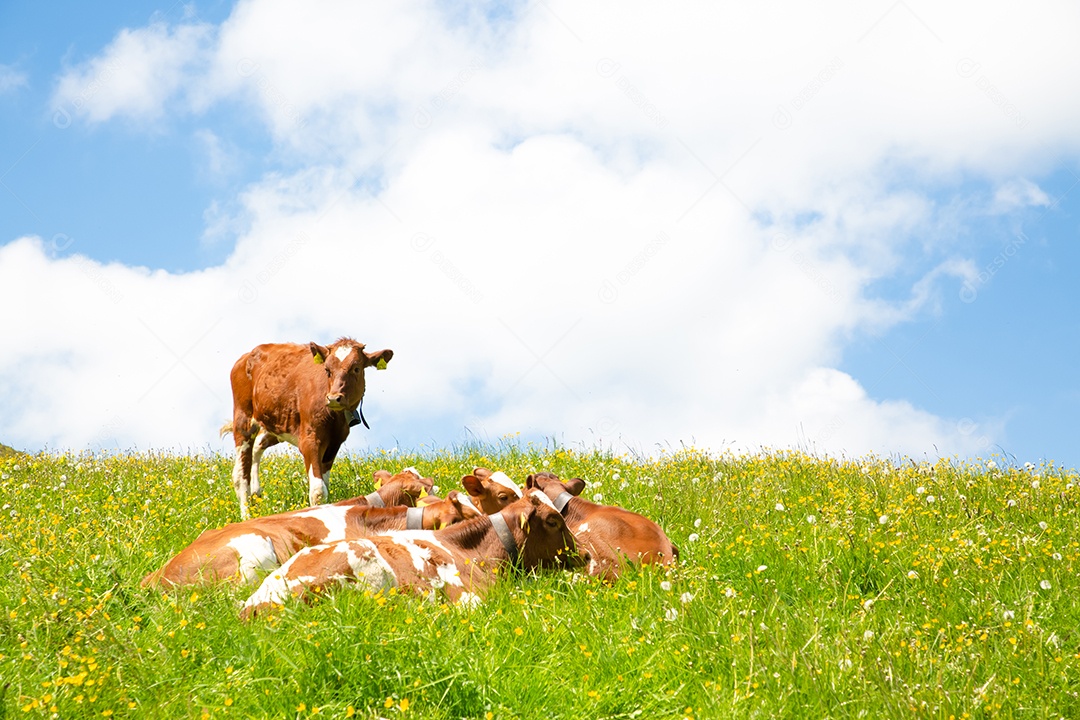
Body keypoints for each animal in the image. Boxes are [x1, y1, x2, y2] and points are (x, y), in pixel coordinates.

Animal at [227, 337, 393, 519]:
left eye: (356, 368)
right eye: (327, 370)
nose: (334, 398)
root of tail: (247, 356)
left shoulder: (334, 443)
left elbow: (325, 485)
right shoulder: (310, 440)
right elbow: (318, 491)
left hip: (275, 423)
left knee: (257, 446)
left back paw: (256, 492)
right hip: (243, 418)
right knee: (241, 474)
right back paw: (247, 515)